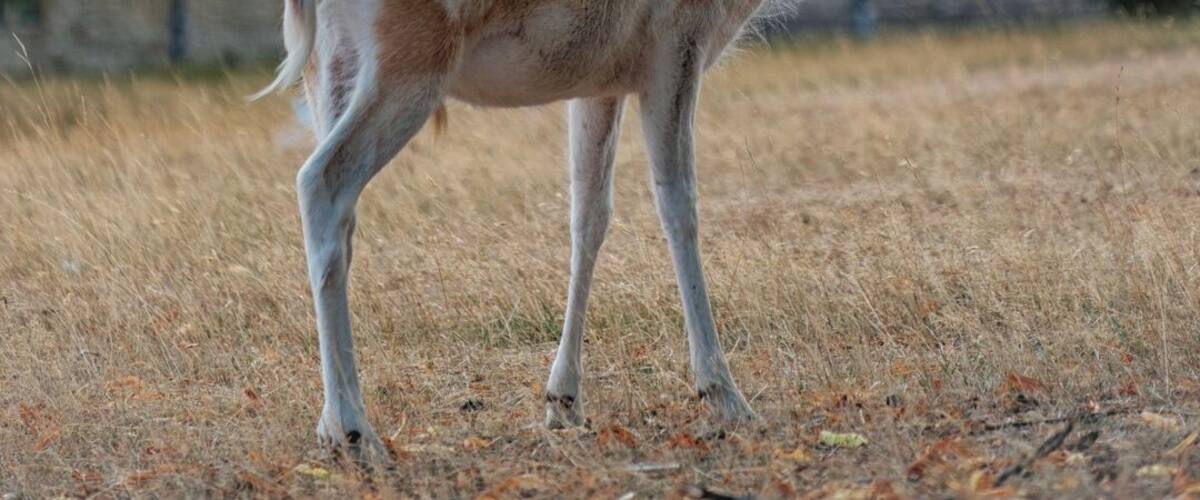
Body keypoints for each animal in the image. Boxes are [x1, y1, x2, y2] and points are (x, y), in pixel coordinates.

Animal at [256, 0, 773, 462]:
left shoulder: (601, 80)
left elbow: (589, 214)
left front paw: (563, 403)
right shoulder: (676, 43)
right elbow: (678, 203)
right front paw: (727, 397)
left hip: (329, 68)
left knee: (342, 220)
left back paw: (330, 427)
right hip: (408, 58)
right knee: (320, 182)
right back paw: (356, 434)